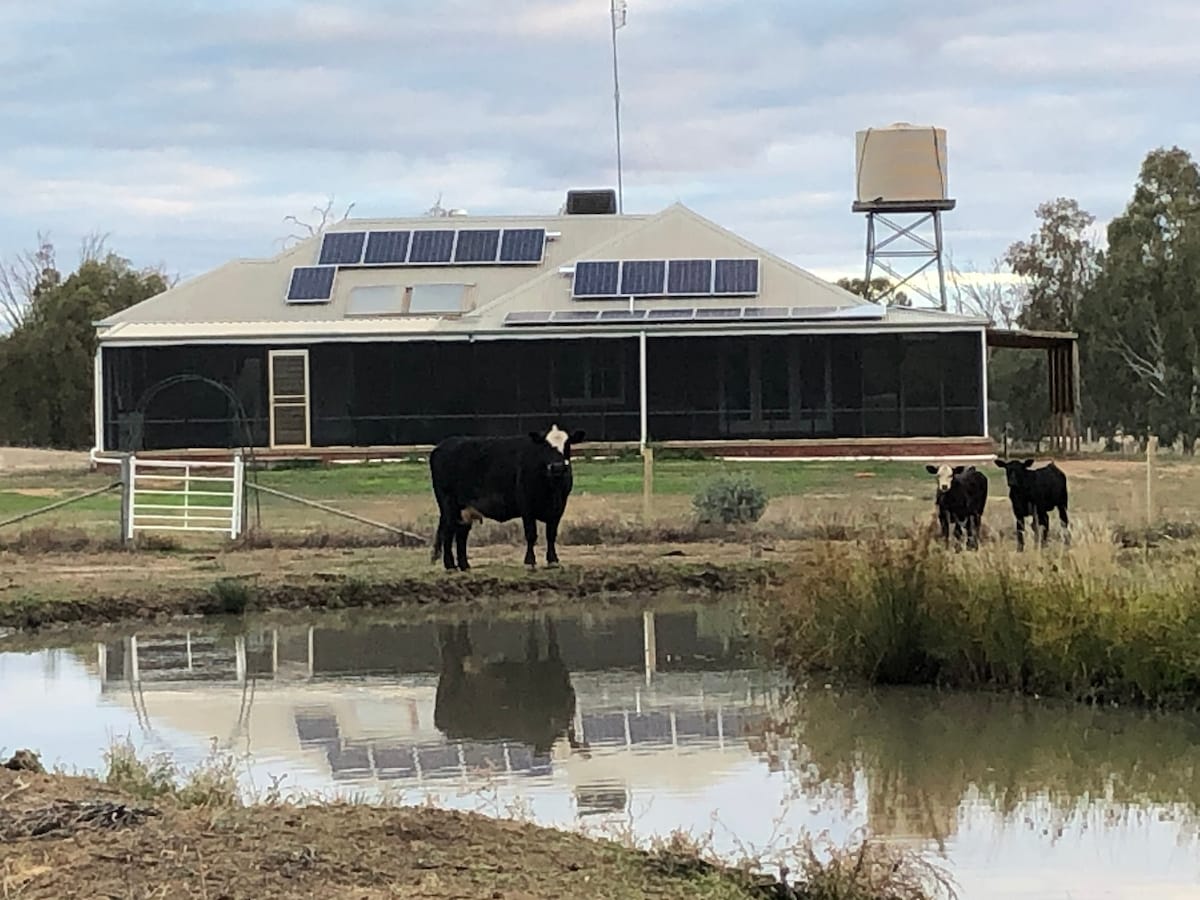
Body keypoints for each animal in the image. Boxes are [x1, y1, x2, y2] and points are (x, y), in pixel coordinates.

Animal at [429, 422, 583, 571]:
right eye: (545, 446)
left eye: (567, 444)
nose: (558, 467)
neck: (551, 488)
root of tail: (444, 445)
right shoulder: (526, 506)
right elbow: (531, 534)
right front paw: (530, 562)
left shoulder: (559, 507)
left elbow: (551, 534)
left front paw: (553, 561)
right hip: (449, 505)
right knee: (448, 532)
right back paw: (450, 566)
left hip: (465, 509)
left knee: (461, 534)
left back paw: (464, 565)